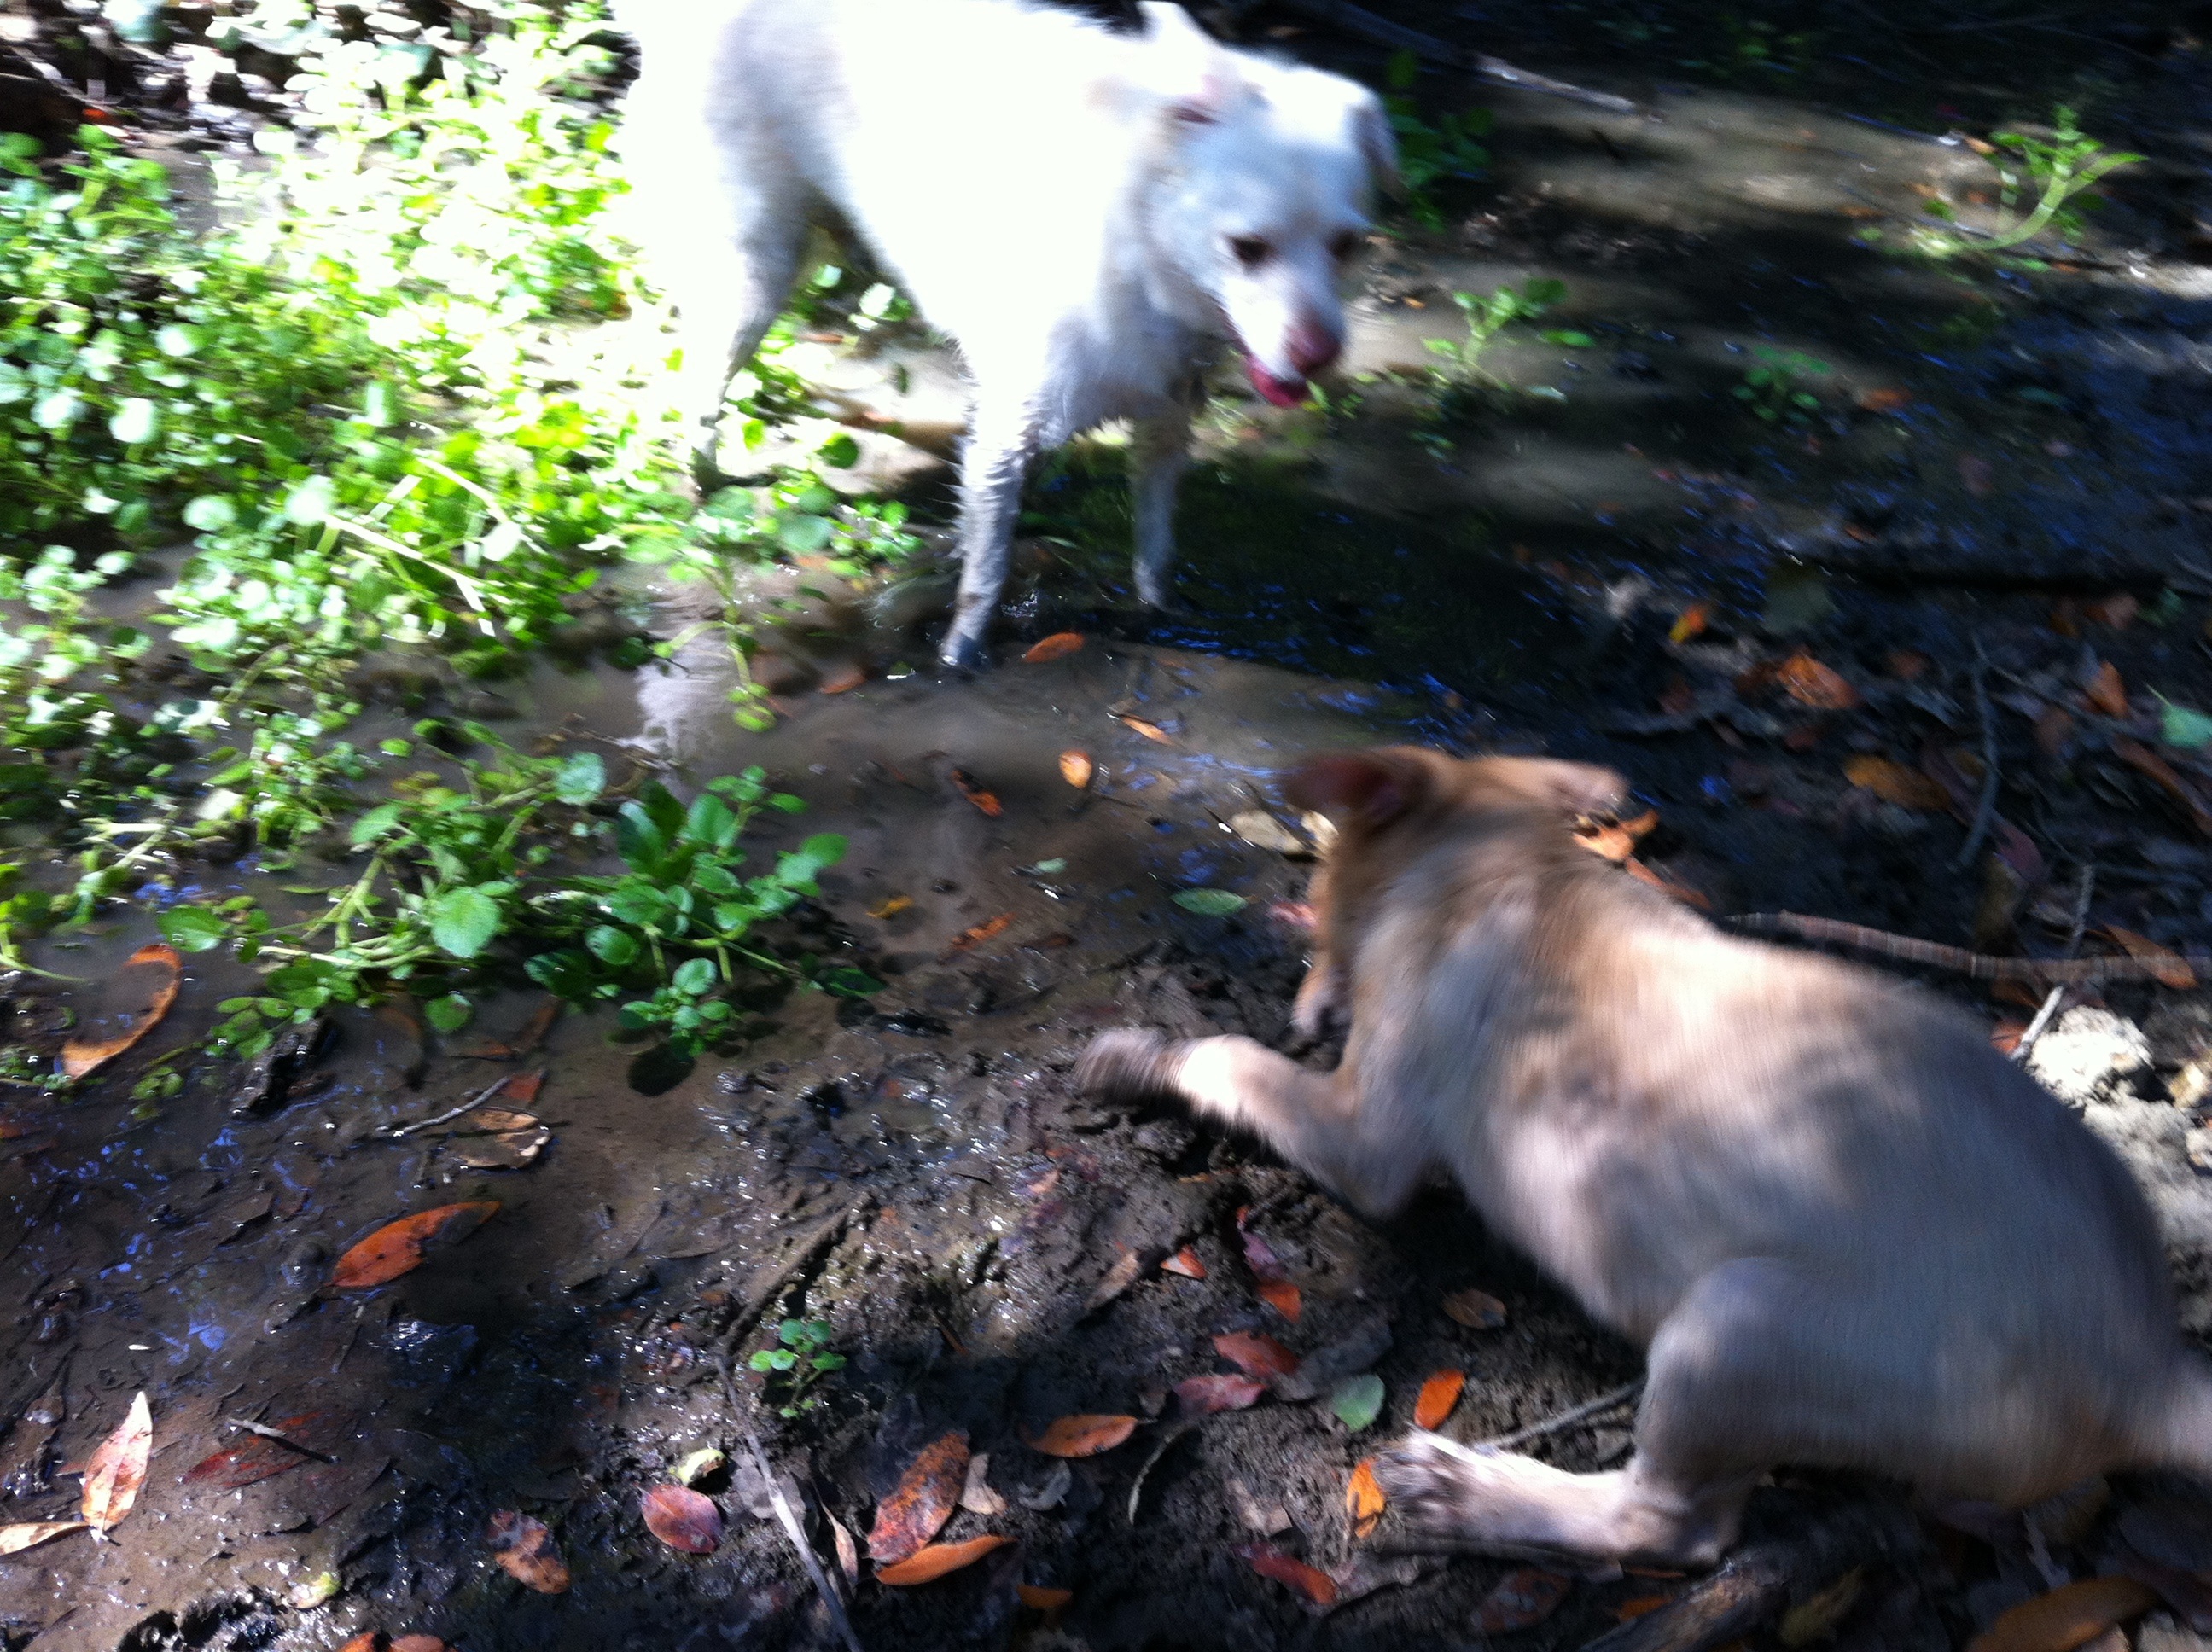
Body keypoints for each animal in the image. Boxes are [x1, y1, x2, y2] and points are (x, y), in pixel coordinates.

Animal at [614, 4, 1388, 672]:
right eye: (1246, 248)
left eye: (1347, 245)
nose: (1319, 357)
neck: (1138, 244)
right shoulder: (1006, 436)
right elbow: (986, 575)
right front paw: (959, 657)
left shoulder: (1163, 422)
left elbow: (1154, 549)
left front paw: (1159, 615)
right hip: (755, 271)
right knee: (694, 386)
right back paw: (700, 486)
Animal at [1079, 742, 2212, 1574]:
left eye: (1316, 883)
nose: (1311, 1010)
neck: (1507, 865)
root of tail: (2144, 1376)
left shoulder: (1367, 1137)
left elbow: (1234, 1058)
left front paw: (1142, 1052)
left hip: (1736, 1328)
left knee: (1672, 1527)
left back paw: (1477, 1491)